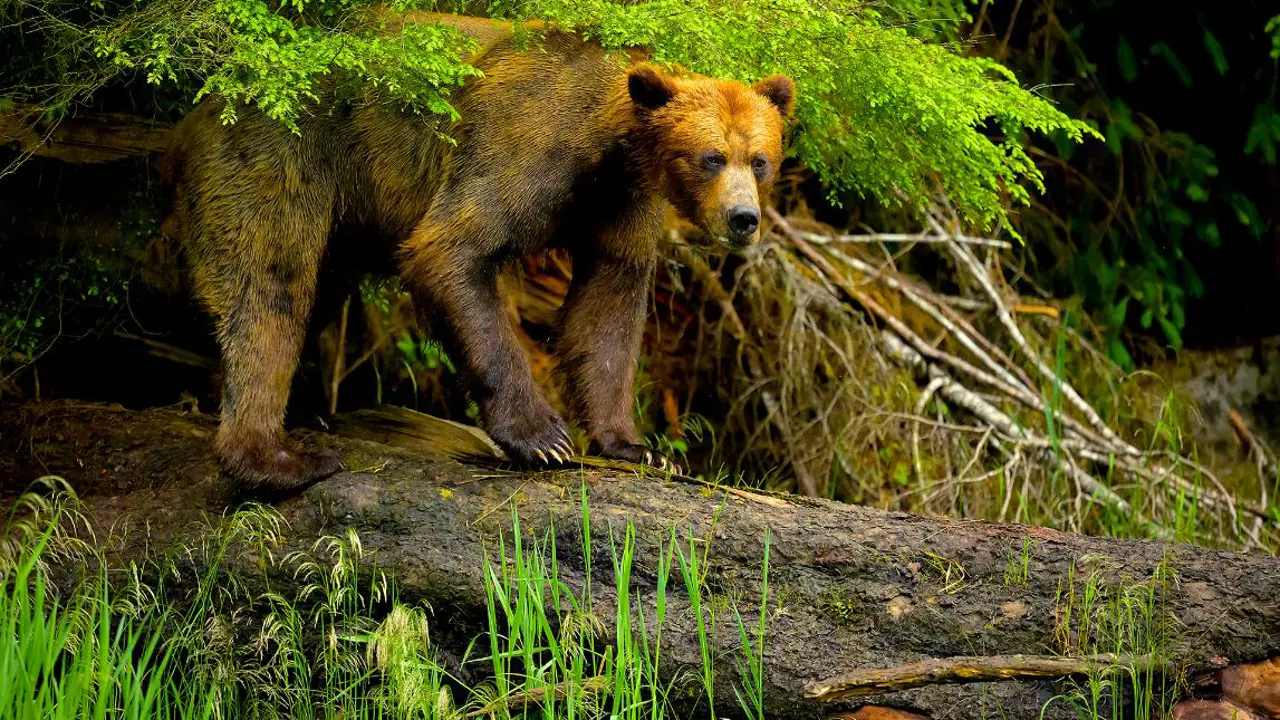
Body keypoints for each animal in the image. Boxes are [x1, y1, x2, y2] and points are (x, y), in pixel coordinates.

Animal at [165, 11, 793, 484]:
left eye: (760, 160)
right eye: (711, 157)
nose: (743, 219)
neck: (604, 148)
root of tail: (201, 104)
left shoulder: (619, 205)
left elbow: (607, 310)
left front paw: (638, 447)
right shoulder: (524, 146)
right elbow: (450, 250)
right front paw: (542, 437)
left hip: (343, 216)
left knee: (315, 291)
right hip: (277, 156)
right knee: (270, 288)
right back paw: (276, 458)